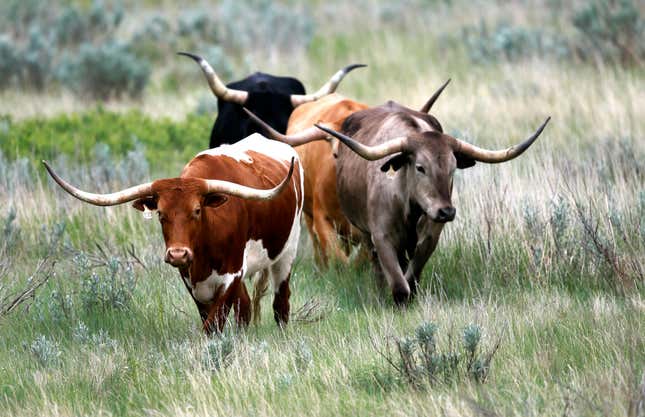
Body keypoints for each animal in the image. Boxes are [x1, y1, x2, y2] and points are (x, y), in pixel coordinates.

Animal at [44, 135, 304, 334]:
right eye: (160, 213)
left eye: (197, 210)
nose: (178, 254)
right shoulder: (192, 281)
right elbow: (212, 321)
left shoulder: (232, 274)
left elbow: (213, 324)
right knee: (246, 307)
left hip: (287, 253)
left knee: (281, 303)